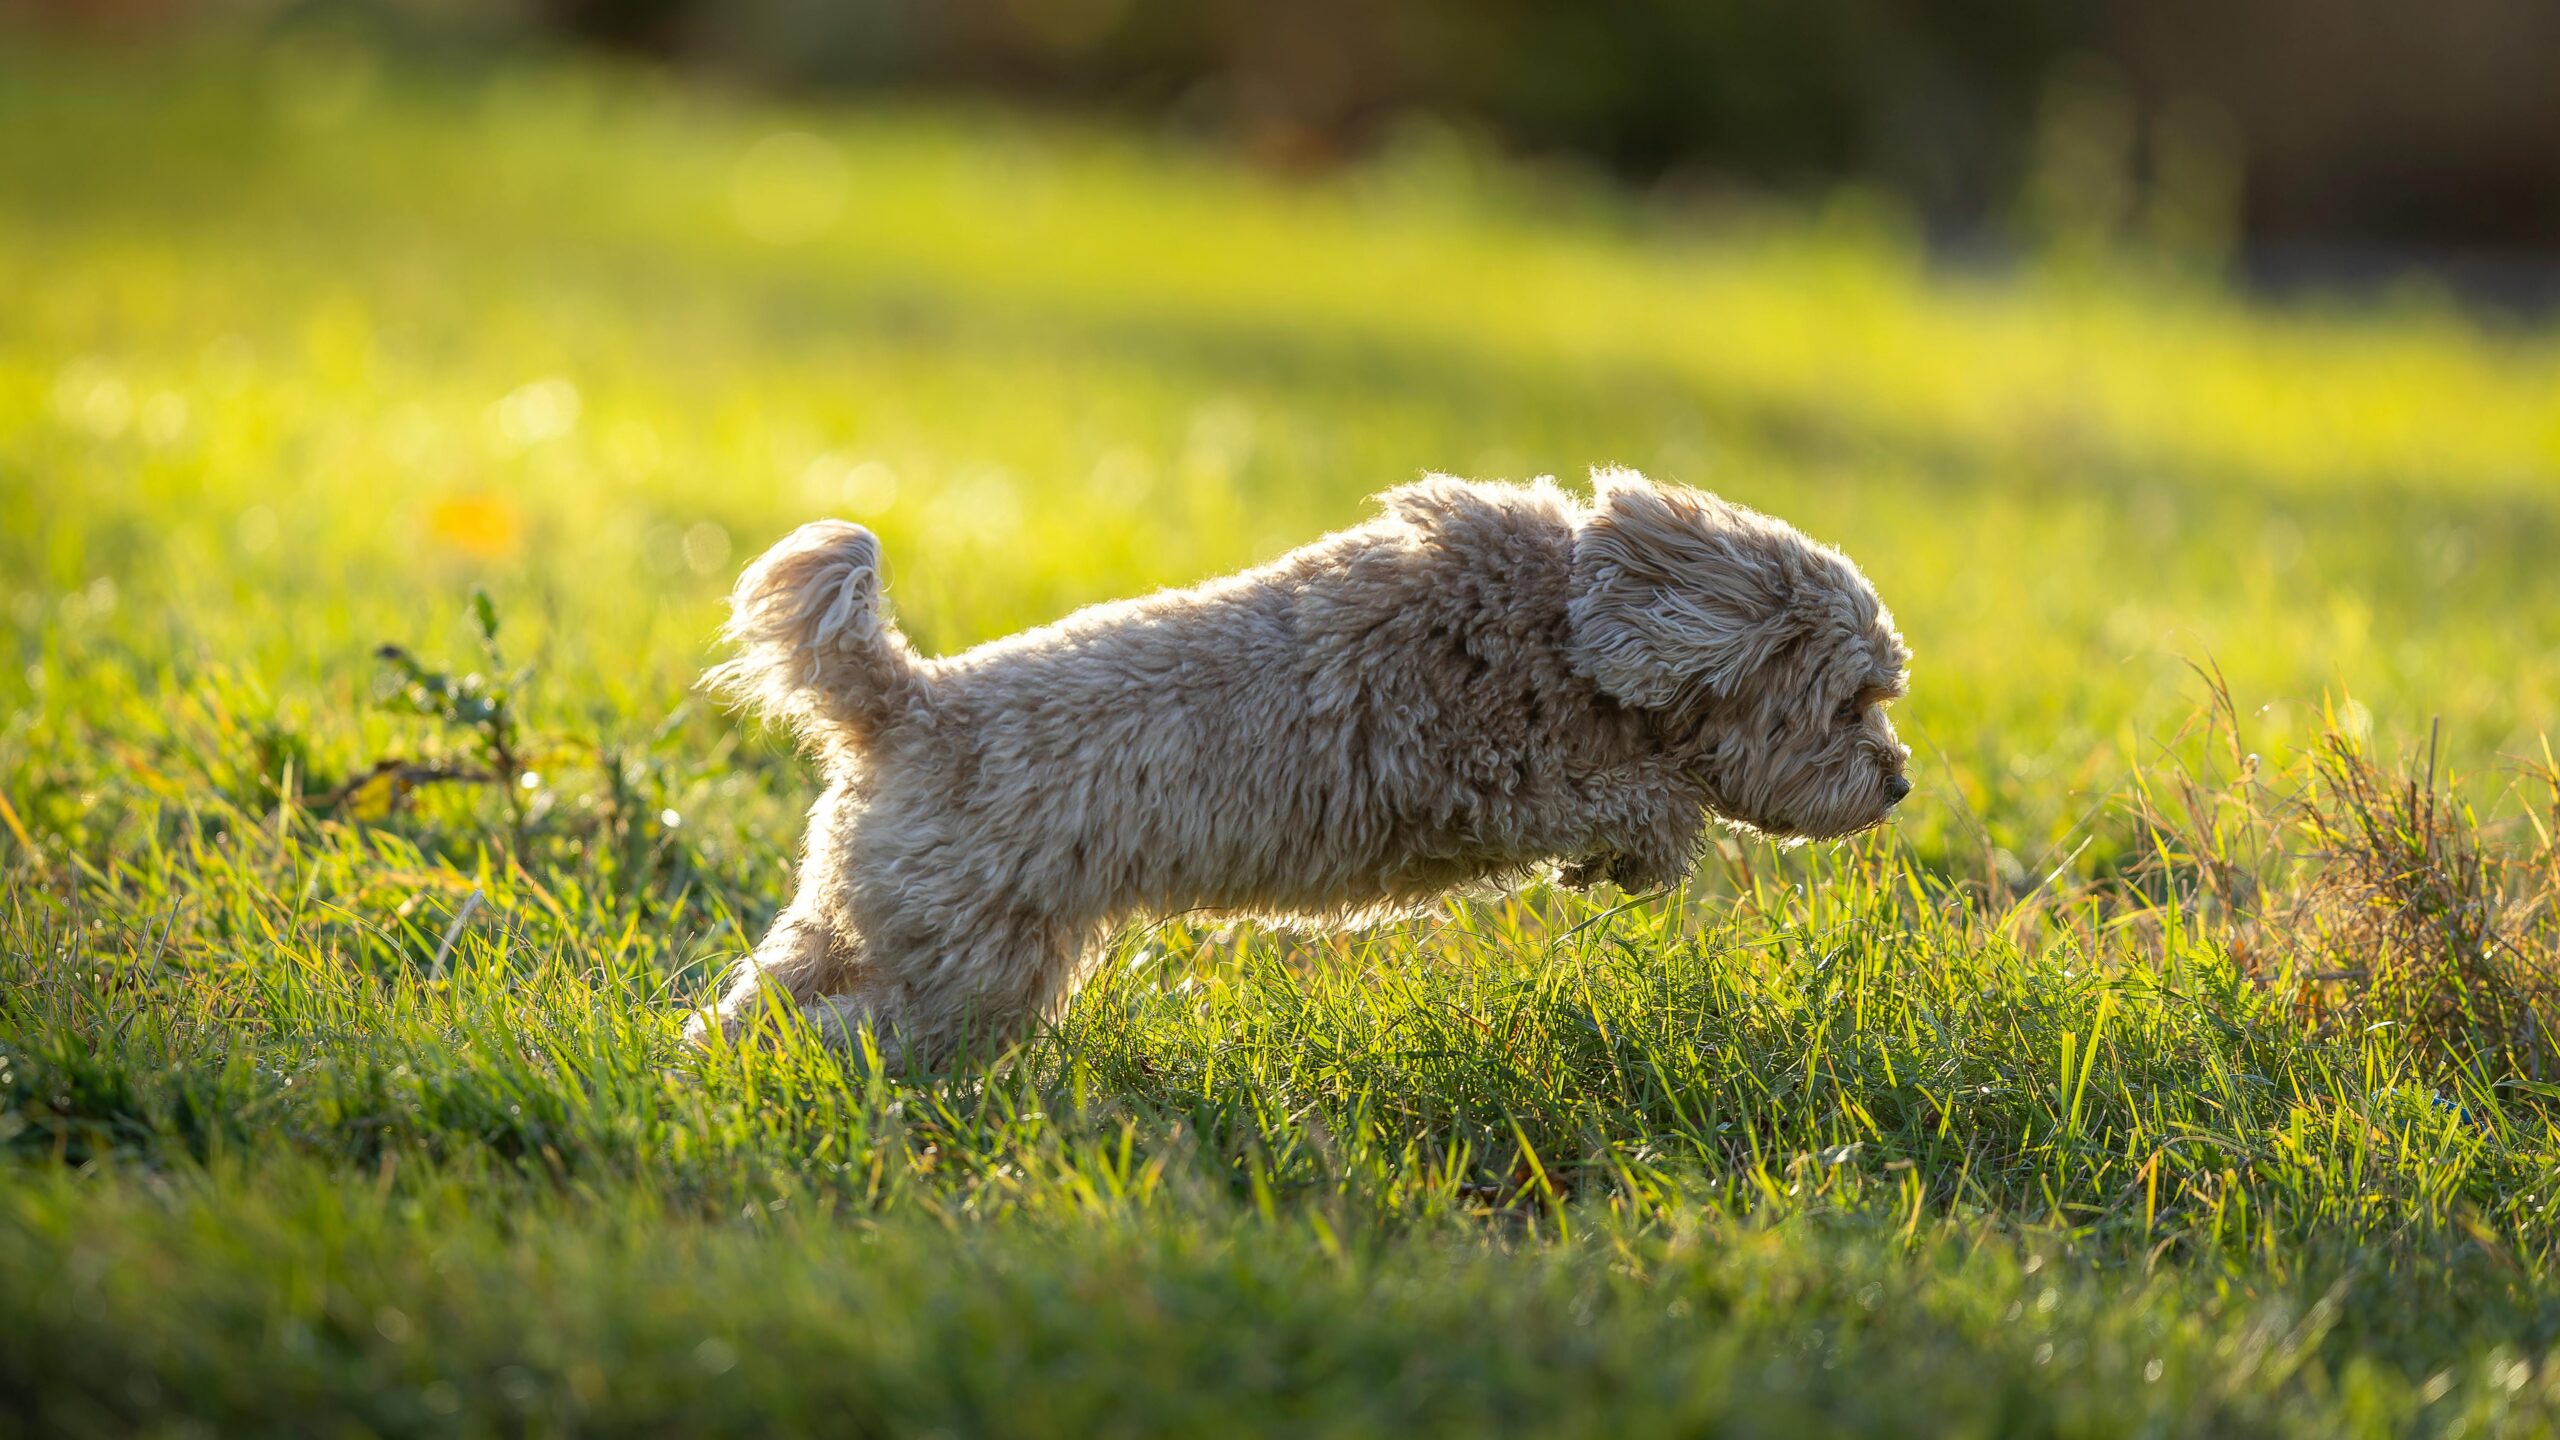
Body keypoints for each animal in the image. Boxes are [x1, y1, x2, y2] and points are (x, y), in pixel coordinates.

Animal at [680, 466, 1904, 1060]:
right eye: (1850, 702)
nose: (1898, 783)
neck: (1565, 624)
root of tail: (906, 704)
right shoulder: (1477, 770)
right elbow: (1630, 795)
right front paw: (1645, 846)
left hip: (853, 915)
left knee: (759, 997)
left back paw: (705, 1065)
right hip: (974, 969)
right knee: (859, 1032)